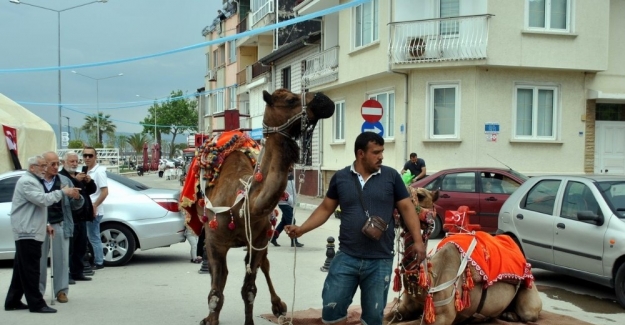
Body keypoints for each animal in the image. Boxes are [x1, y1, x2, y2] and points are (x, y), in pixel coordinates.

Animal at [382, 187, 540, 324]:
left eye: (421, 195)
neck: (431, 282)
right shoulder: (405, 308)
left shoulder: (443, 316)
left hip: (529, 290)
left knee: (529, 312)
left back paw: (509, 315)